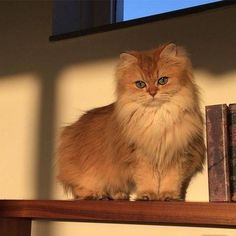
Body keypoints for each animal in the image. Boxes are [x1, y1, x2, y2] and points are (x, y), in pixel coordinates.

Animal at [57, 42, 205, 201]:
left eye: (162, 80)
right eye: (140, 84)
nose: (152, 92)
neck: (156, 119)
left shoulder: (176, 154)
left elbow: (171, 180)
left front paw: (168, 195)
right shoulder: (140, 157)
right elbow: (147, 179)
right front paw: (148, 195)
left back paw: (119, 195)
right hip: (88, 175)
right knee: (80, 189)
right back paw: (97, 194)